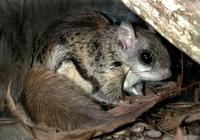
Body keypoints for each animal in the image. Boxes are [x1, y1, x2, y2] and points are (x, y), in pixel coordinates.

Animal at [33, 11, 172, 104]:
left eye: (166, 47)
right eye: (146, 57)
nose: (168, 74)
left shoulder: (133, 83)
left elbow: (135, 89)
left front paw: (144, 94)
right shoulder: (107, 74)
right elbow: (108, 94)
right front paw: (124, 102)